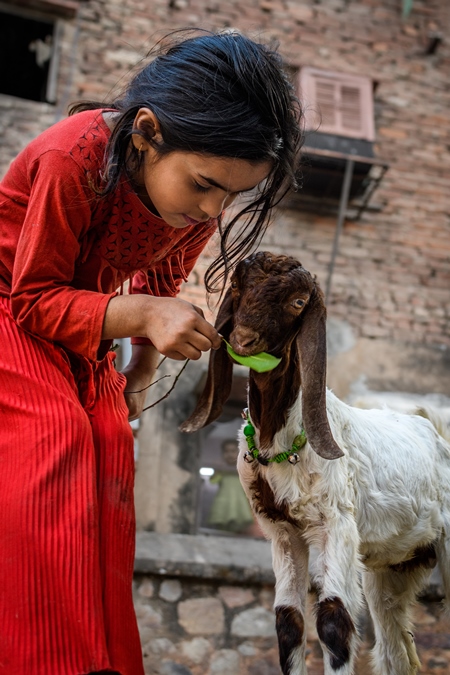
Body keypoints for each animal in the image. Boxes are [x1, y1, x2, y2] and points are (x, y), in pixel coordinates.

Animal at [181, 252, 450, 675]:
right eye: (237, 287)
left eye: (297, 302)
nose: (243, 341)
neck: (281, 437)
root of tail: (429, 425)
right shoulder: (282, 533)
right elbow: (288, 621)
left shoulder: (335, 525)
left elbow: (333, 620)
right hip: (394, 566)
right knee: (396, 651)